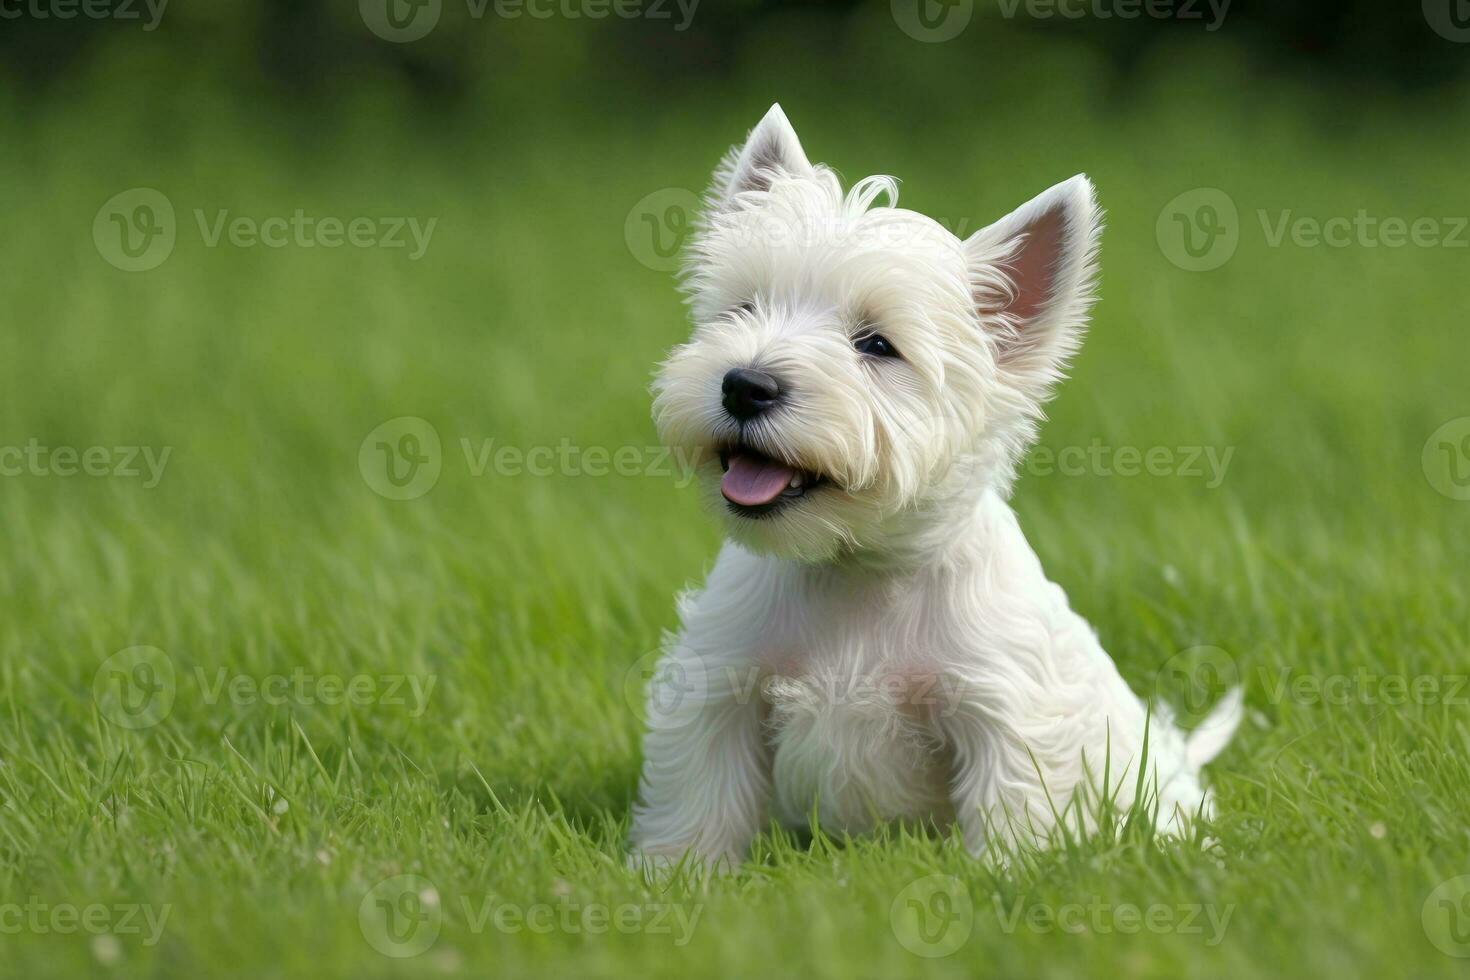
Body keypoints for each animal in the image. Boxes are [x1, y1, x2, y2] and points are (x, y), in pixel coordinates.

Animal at [632, 105, 1240, 875]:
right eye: (745, 307)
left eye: (876, 345)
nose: (744, 385)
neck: (858, 574)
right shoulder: (720, 686)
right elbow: (700, 794)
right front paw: (677, 875)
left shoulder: (1002, 711)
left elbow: (1011, 808)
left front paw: (1008, 877)